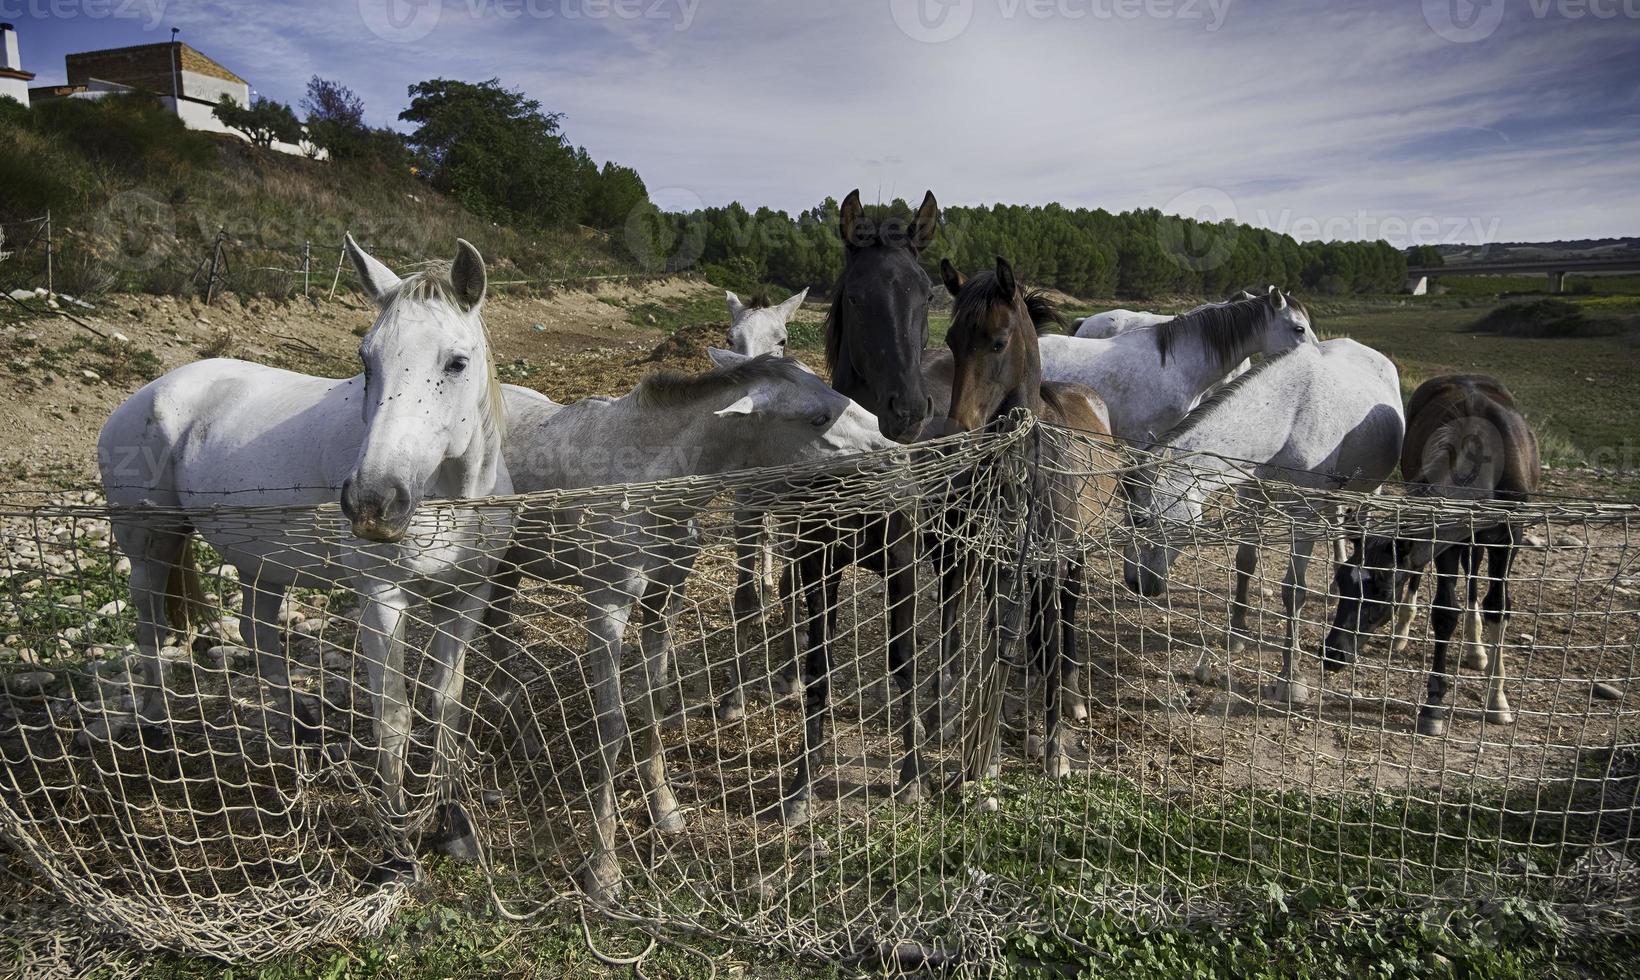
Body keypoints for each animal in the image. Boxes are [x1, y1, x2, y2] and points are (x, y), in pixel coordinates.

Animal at [97, 235, 505, 878]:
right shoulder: (381, 600)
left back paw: (296, 724)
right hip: (149, 545)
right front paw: (397, 846)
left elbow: (447, 704)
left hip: (260, 562)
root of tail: (147, 394)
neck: (450, 500)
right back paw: (156, 725)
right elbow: (393, 714)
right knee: (151, 626)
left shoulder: (468, 597)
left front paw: (452, 820)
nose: (372, 503)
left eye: (456, 363)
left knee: (257, 632)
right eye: (366, 361)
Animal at [495, 353, 892, 904]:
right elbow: (610, 725)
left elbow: (655, 700)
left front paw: (665, 809)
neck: (652, 486)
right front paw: (603, 869)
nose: (893, 449)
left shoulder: (665, 599)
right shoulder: (606, 606)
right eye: (817, 419)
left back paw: (524, 738)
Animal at [938, 257, 1128, 780]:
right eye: (951, 341)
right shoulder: (997, 564)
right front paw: (992, 744)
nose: (957, 437)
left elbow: (1048, 640)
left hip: (1076, 556)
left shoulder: (1049, 564)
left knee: (1065, 619)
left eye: (998, 342)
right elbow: (1001, 636)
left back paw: (1072, 699)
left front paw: (1054, 752)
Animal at [1121, 337, 1403, 707]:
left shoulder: (1303, 514)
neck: (1288, 416)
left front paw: (1291, 679)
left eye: (1140, 519)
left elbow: (1294, 591)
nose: (1134, 583)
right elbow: (1244, 563)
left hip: (1370, 491)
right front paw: (1236, 633)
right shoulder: (1251, 496)